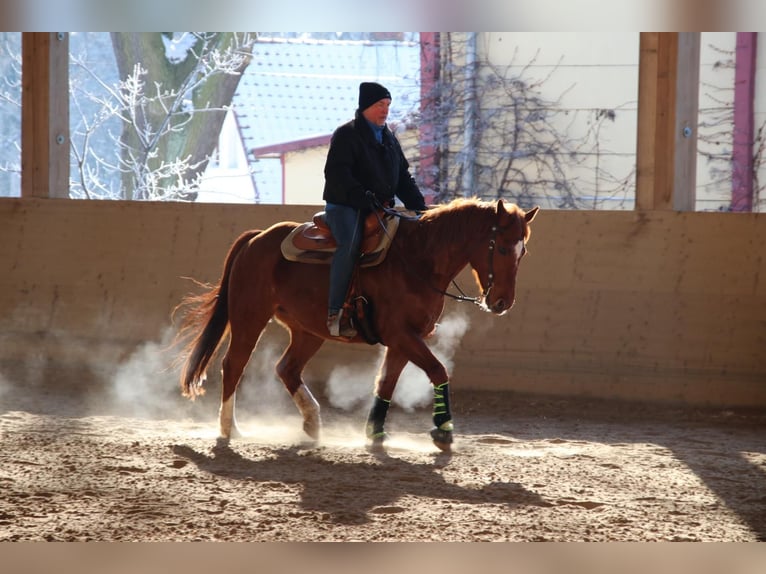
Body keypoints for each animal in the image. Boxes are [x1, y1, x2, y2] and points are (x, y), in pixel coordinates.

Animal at [177, 200, 540, 452]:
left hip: (308, 331)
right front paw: (443, 430)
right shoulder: (400, 335)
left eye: (524, 252)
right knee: (233, 365)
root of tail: (256, 239)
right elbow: (438, 371)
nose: (502, 302)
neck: (418, 260)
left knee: (286, 368)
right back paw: (230, 429)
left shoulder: (404, 340)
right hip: (249, 317)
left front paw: (375, 433)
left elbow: (386, 383)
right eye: (503, 247)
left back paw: (312, 423)